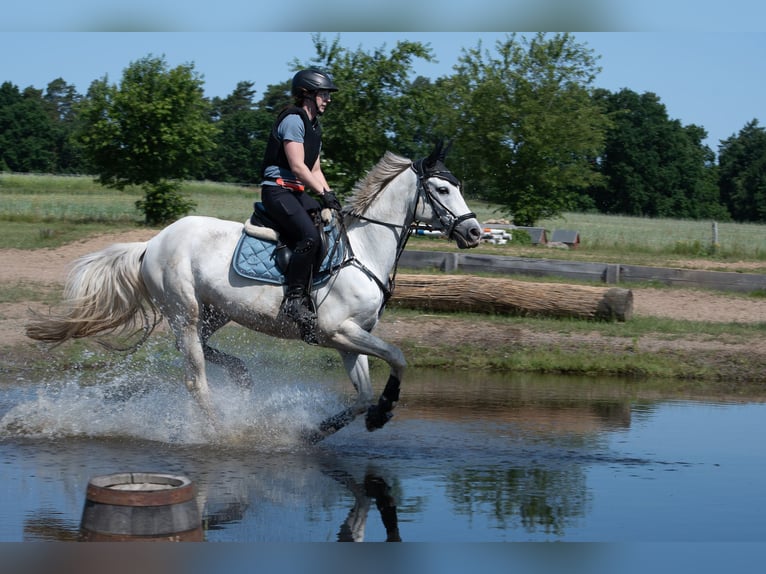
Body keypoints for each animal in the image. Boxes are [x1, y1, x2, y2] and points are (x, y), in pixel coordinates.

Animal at [26, 142, 483, 441]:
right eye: (443, 189)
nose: (476, 232)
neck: (365, 249)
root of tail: (151, 243)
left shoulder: (349, 341)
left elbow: (360, 396)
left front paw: (319, 431)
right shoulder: (339, 331)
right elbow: (399, 357)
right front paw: (384, 411)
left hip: (215, 312)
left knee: (200, 350)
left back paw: (240, 377)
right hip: (184, 310)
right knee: (196, 379)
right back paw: (221, 432)